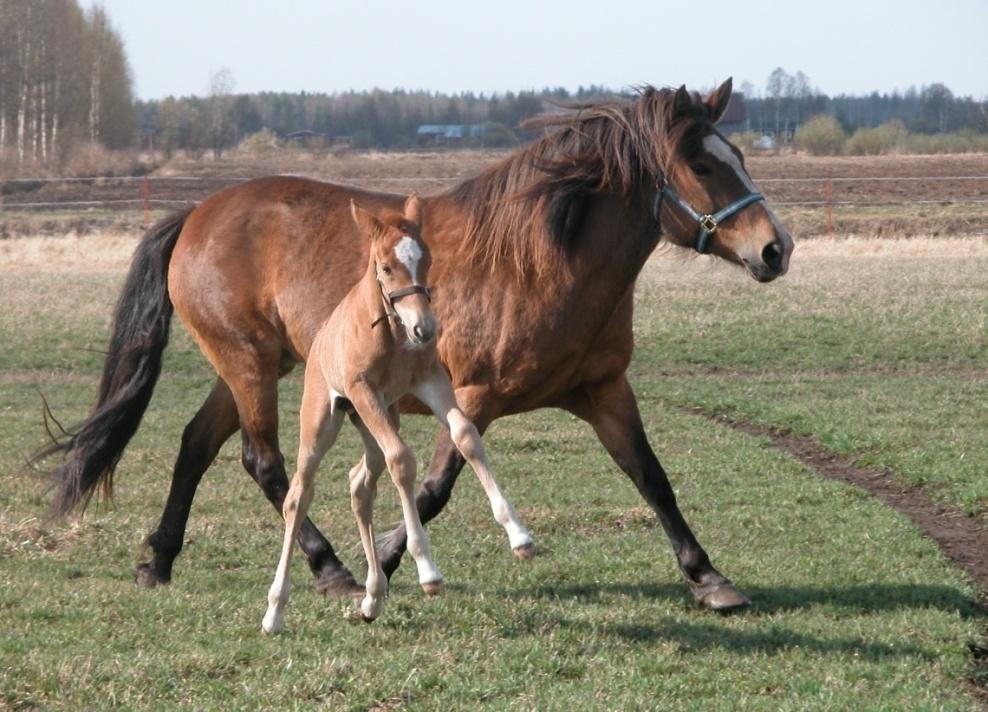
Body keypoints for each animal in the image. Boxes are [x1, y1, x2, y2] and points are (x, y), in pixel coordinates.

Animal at [258, 196, 528, 636]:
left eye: (427, 259)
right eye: (385, 267)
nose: (425, 329)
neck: (390, 331)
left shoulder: (430, 379)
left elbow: (466, 435)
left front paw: (520, 536)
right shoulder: (362, 389)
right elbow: (402, 459)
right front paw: (428, 570)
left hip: (378, 419)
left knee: (360, 484)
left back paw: (372, 597)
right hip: (326, 420)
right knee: (299, 495)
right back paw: (275, 611)